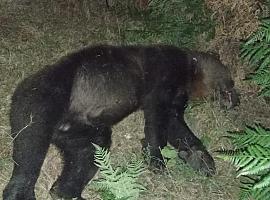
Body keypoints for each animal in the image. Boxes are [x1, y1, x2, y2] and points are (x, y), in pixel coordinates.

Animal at [3, 44, 239, 200]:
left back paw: (65, 192)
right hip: (43, 97)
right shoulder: (164, 73)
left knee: (88, 152)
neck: (188, 71)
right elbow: (157, 115)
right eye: (230, 82)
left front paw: (201, 158)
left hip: (81, 129)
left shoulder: (178, 94)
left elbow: (175, 122)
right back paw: (20, 191)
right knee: (30, 147)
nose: (236, 99)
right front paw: (156, 160)